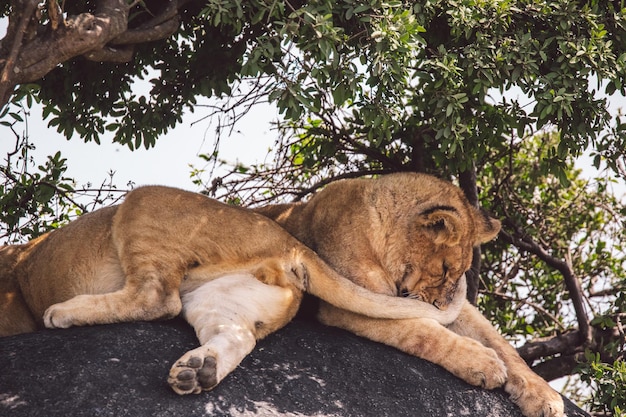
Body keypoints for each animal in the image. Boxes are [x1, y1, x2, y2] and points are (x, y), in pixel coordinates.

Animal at [1, 184, 464, 394]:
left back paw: (64, 312)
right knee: (237, 335)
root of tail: (289, 242)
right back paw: (197, 371)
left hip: (143, 201)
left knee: (156, 299)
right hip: (218, 295)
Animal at [252, 171, 560, 414]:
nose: (440, 306)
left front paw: (545, 396)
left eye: (459, 273)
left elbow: (501, 343)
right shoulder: (346, 301)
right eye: (445, 269)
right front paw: (482, 361)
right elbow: (421, 331)